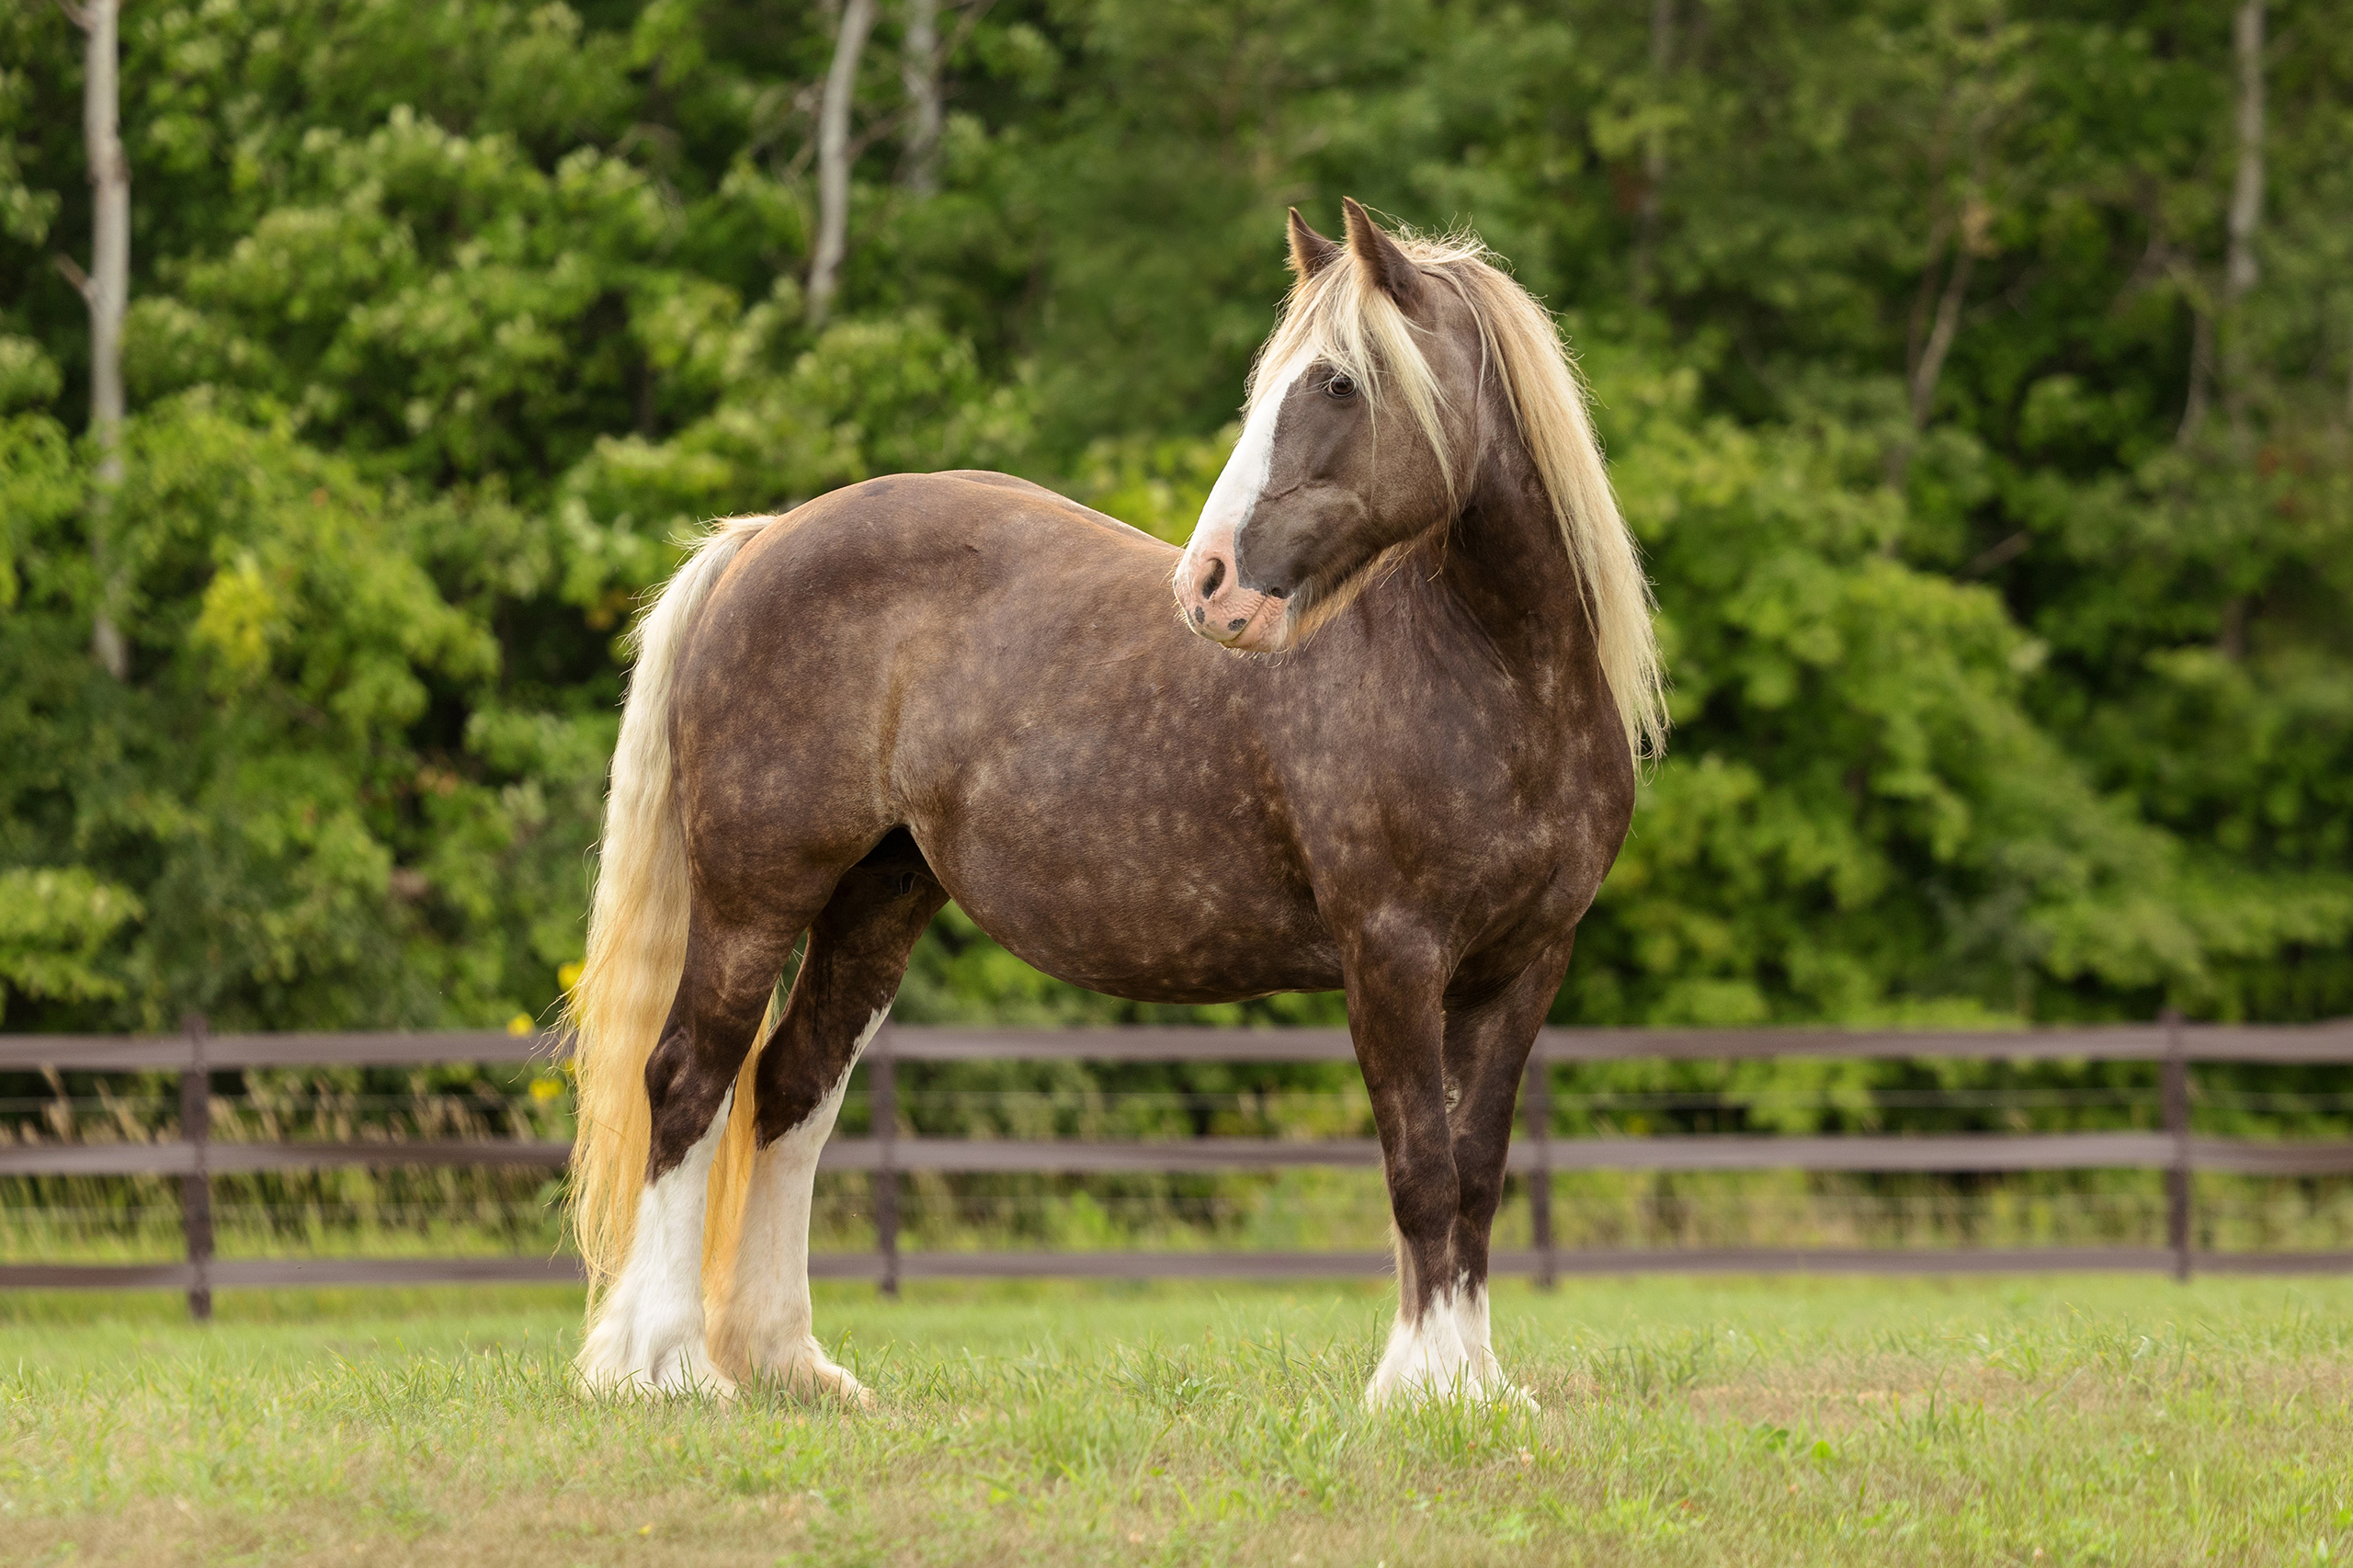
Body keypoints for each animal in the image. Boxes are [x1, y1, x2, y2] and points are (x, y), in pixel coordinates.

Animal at [565, 199, 1665, 1409]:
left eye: (1336, 382)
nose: (1209, 583)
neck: (1493, 675)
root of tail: (759, 538)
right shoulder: (1391, 954)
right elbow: (1420, 1164)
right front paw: (1416, 1384)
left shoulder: (1523, 966)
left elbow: (1475, 1171)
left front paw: (1472, 1383)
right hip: (753, 895)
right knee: (689, 1078)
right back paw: (662, 1365)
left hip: (876, 899)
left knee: (788, 1089)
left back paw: (784, 1363)